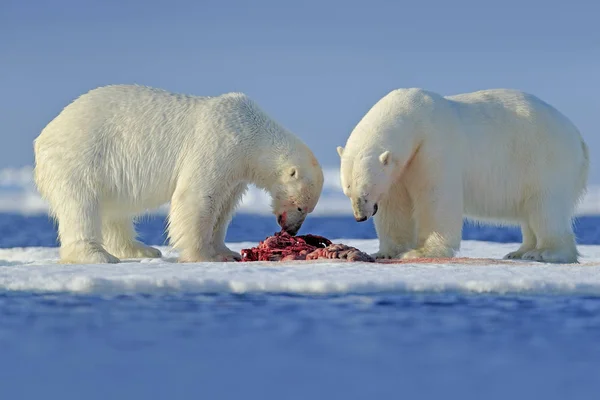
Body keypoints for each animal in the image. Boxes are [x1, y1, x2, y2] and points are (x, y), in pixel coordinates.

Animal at [32, 84, 324, 264]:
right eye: (301, 207)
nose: (291, 230)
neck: (251, 131)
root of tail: (44, 134)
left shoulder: (236, 170)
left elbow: (223, 207)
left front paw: (226, 251)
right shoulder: (219, 143)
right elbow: (197, 197)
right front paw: (203, 255)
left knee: (114, 212)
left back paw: (141, 249)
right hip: (81, 157)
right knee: (81, 205)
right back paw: (97, 255)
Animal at [338, 88, 592, 264]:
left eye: (366, 192)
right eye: (347, 191)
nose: (360, 216)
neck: (414, 117)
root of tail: (578, 137)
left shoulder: (434, 146)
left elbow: (436, 197)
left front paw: (420, 251)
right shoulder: (400, 169)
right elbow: (395, 206)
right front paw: (387, 252)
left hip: (544, 159)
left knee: (545, 207)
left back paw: (544, 253)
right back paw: (520, 251)